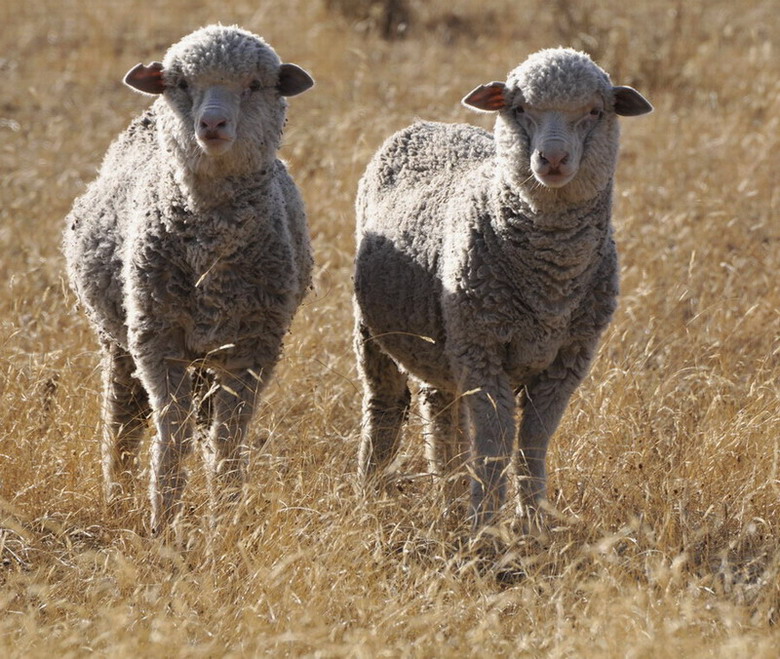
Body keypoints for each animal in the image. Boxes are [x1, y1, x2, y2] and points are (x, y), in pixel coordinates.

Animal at [63, 23, 314, 532]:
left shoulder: (254, 347)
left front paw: (227, 516)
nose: (212, 125)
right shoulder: (158, 342)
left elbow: (228, 437)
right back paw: (117, 493)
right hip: (119, 340)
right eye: (180, 84)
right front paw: (163, 519)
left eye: (255, 85)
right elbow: (171, 433)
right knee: (122, 419)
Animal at [354, 46, 652, 532]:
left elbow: (533, 442)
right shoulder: (483, 348)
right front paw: (485, 529)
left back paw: (450, 497)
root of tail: (427, 124)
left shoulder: (567, 360)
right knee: (385, 405)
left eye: (595, 111)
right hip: (377, 329)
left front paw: (533, 526)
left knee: (441, 410)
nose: (552, 159)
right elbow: (495, 442)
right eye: (520, 108)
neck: (548, 281)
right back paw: (372, 492)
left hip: (443, 342)